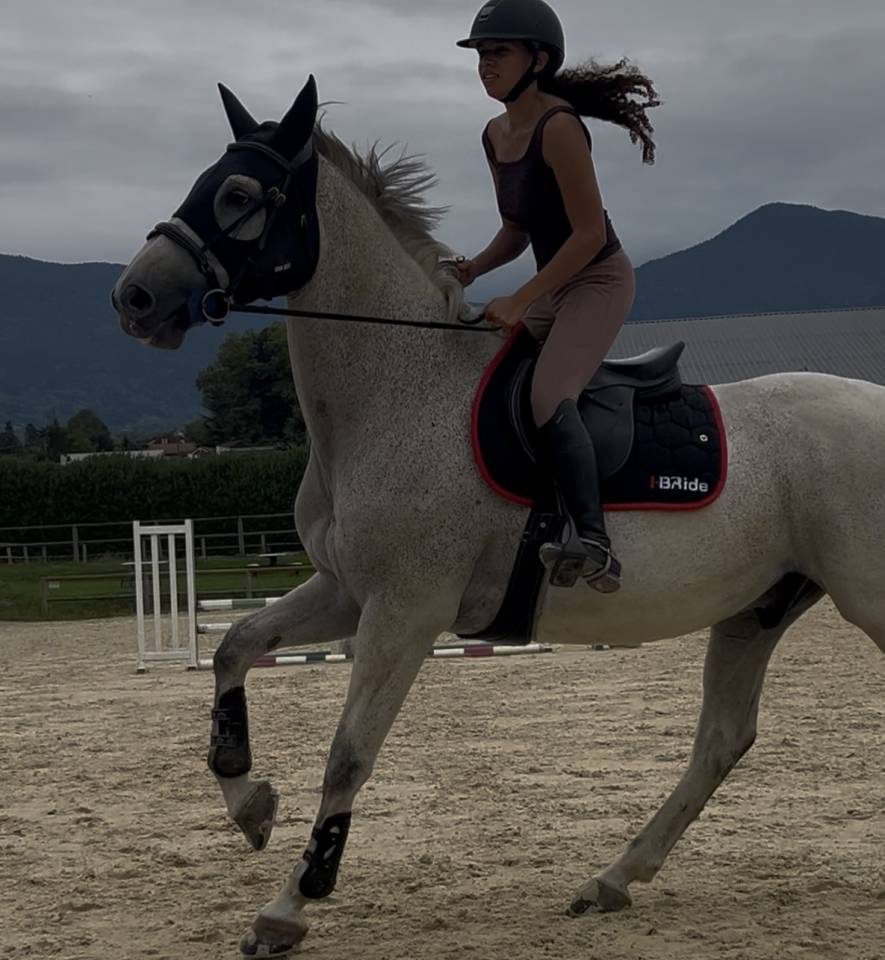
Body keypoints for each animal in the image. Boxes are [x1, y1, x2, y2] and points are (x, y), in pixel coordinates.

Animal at [112, 76, 885, 957]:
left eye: (238, 194)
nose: (134, 297)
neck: (397, 389)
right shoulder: (346, 591)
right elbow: (234, 646)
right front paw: (249, 804)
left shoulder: (406, 609)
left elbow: (349, 754)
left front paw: (290, 904)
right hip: (755, 610)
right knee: (720, 741)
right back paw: (611, 879)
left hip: (865, 595)